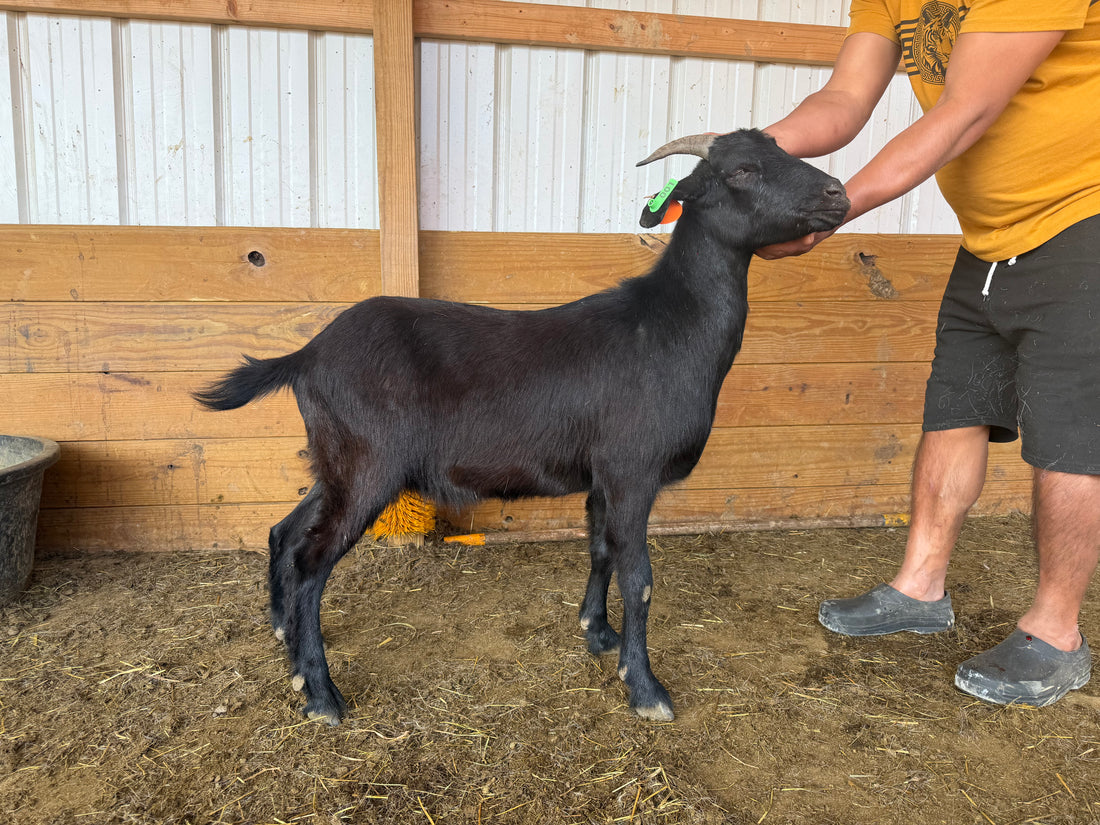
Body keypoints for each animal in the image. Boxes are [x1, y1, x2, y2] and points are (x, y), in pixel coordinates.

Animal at [194, 129, 849, 725]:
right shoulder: (633, 469)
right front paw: (645, 688)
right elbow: (638, 575)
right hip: (367, 467)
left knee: (284, 532)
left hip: (338, 461)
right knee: (311, 562)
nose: (838, 193)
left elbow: (601, 549)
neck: (668, 325)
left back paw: (285, 641)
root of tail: (306, 355)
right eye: (741, 170)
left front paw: (597, 634)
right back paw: (321, 695)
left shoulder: (602, 476)